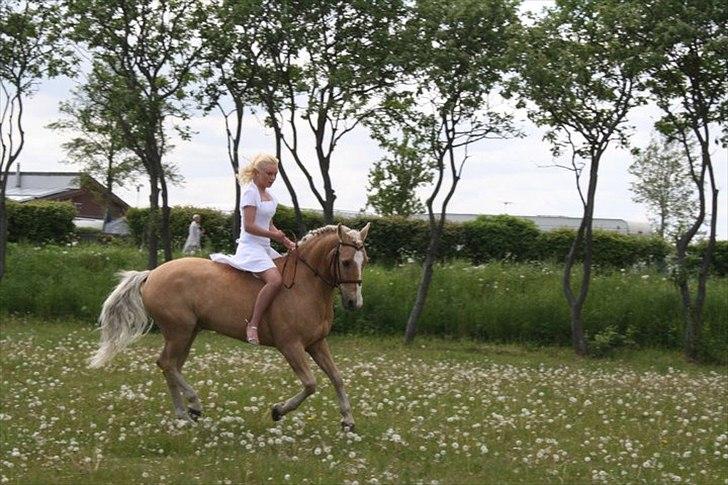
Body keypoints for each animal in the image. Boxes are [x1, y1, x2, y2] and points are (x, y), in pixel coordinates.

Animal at [89, 223, 370, 432]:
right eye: (346, 262)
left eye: (364, 261)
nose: (354, 303)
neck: (304, 284)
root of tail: (152, 273)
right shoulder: (291, 346)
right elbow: (310, 384)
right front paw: (277, 411)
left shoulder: (316, 343)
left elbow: (337, 377)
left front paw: (348, 421)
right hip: (179, 331)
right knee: (166, 363)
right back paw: (192, 406)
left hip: (187, 333)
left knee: (171, 366)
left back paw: (184, 414)